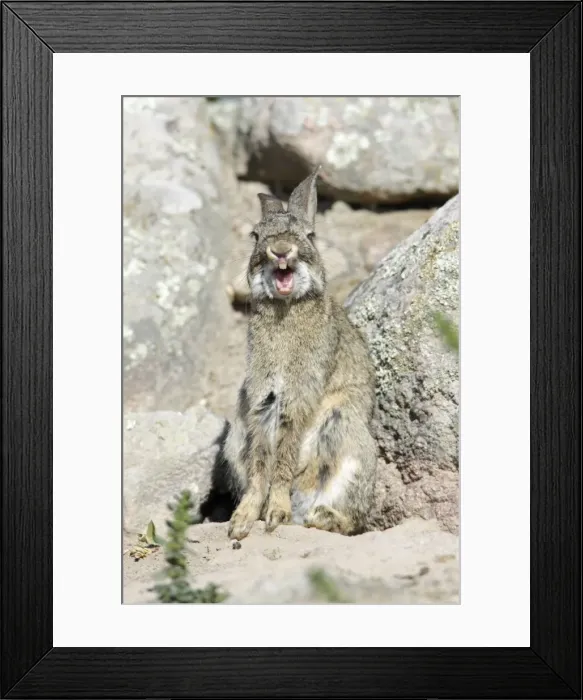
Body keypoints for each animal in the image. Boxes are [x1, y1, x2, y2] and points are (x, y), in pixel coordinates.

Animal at [224, 166, 377, 541]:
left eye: (310, 235)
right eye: (256, 236)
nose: (281, 251)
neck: (287, 308)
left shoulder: (300, 389)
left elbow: (285, 452)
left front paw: (275, 513)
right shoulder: (263, 395)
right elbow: (262, 458)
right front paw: (243, 520)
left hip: (348, 438)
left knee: (351, 519)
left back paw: (320, 517)